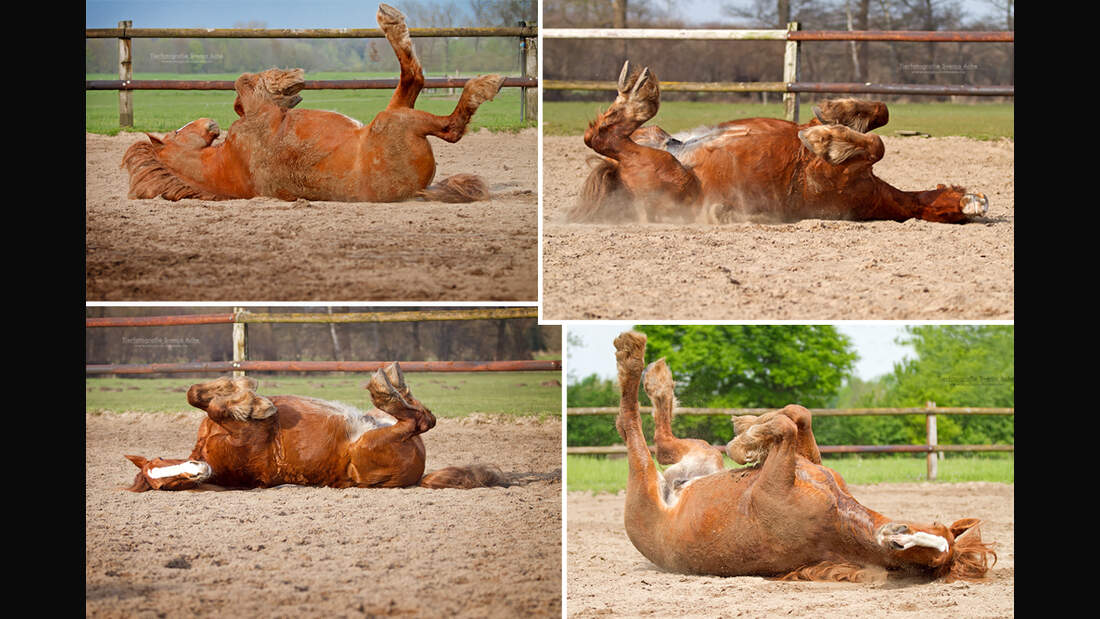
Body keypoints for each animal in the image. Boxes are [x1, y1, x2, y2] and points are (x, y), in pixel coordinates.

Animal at [125, 3, 506, 204]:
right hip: (393, 119)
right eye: (176, 132)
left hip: (393, 113)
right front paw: (285, 82)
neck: (229, 165)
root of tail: (417, 189)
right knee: (444, 116)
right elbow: (244, 86)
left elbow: (241, 95)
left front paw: (288, 88)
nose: (207, 124)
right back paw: (482, 83)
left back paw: (392, 21)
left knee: (413, 81)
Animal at [126, 362, 503, 494]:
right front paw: (255, 404)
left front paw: (243, 390)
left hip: (377, 422)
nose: (198, 469)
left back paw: (393, 382)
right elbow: (216, 405)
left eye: (159, 464)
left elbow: (197, 394)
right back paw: (386, 385)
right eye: (169, 485)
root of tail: (418, 476)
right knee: (419, 421)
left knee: (417, 414)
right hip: (377, 441)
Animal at [572, 60, 994, 224]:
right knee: (610, 134)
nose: (982, 200)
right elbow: (878, 115)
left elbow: (875, 143)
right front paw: (832, 114)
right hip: (655, 140)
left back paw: (638, 97)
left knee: (603, 137)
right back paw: (637, 92)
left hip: (669, 174)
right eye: (958, 196)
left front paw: (827, 140)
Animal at [611, 332, 998, 584]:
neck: (837, 513)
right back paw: (657, 376)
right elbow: (797, 415)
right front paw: (749, 428)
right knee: (657, 437)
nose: (897, 536)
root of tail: (672, 487)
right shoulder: (808, 463)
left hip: (645, 479)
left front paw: (745, 442)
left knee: (633, 427)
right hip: (701, 456)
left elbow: (785, 425)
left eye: (930, 561)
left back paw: (632, 354)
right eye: (936, 530)